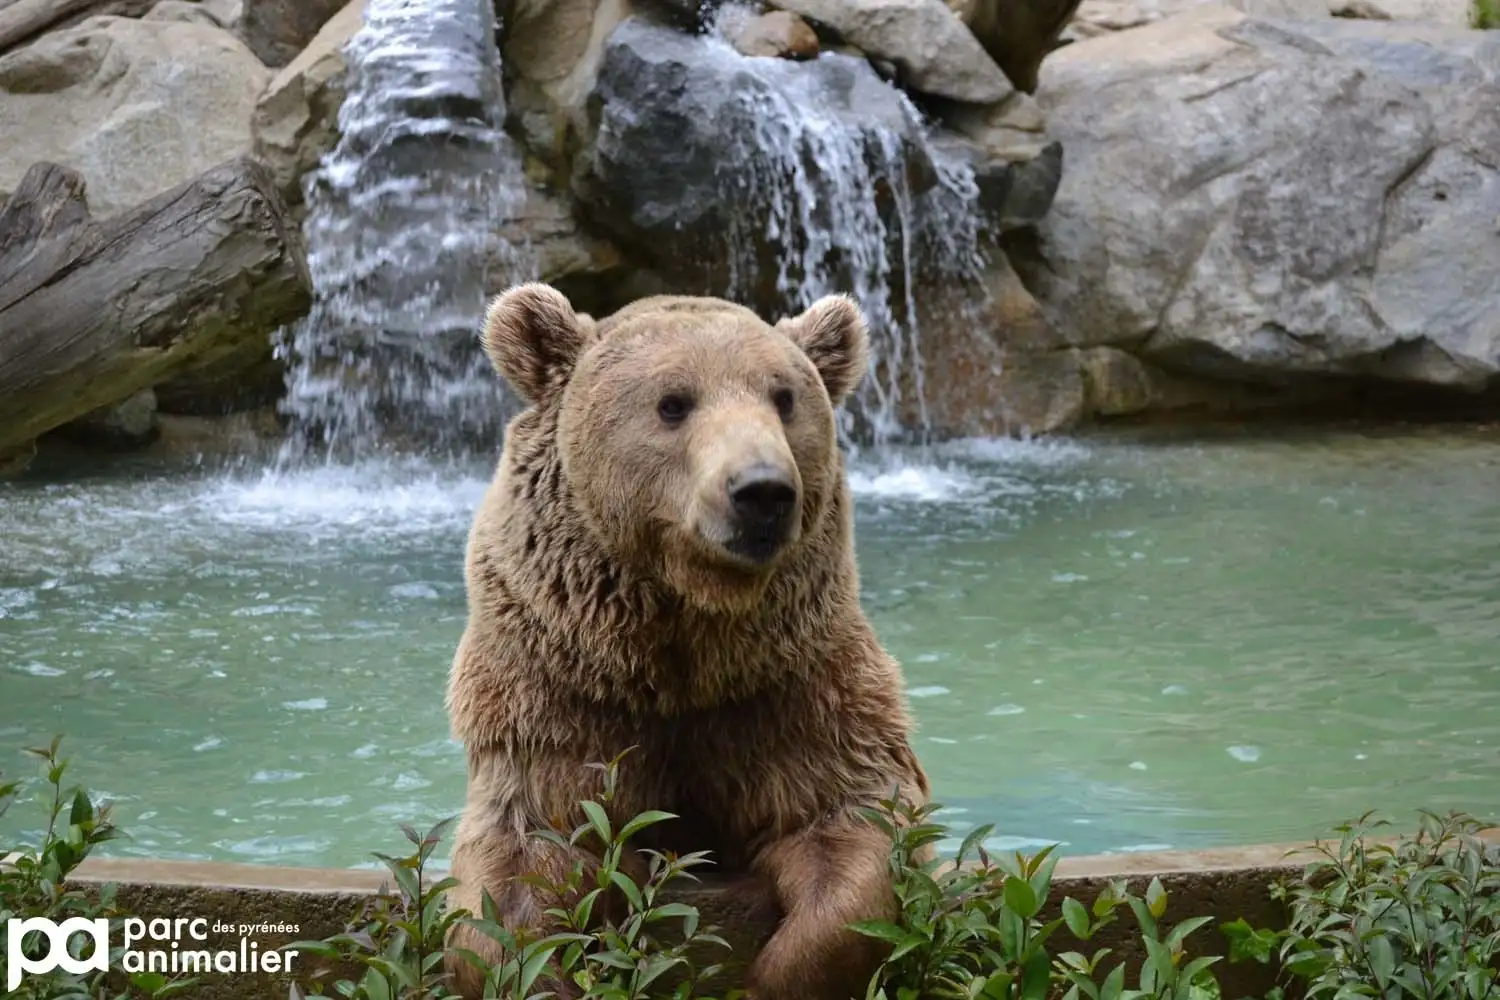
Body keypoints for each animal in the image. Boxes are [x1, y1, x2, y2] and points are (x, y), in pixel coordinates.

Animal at [444, 283, 931, 1000]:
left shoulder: (792, 684)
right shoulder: (559, 686)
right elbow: (530, 849)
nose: (762, 492)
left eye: (784, 397)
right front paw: (536, 968)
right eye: (673, 402)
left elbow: (845, 820)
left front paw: (771, 974)